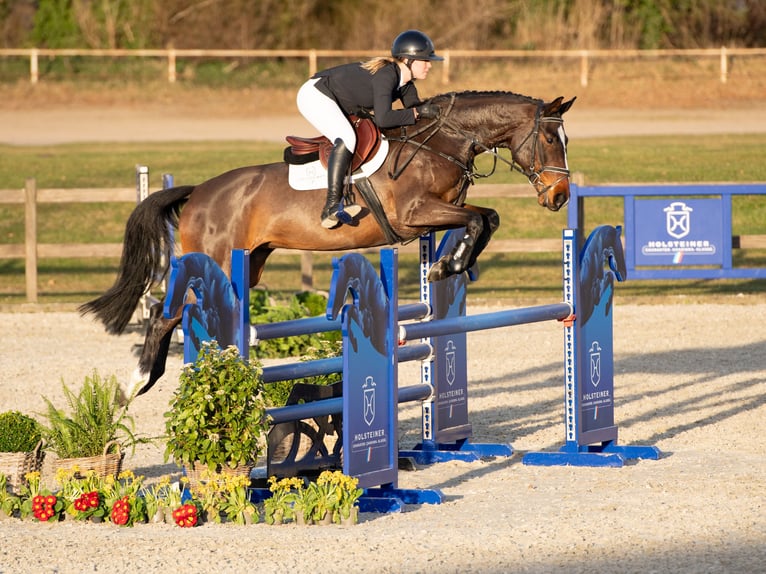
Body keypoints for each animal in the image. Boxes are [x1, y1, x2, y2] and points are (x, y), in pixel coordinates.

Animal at [79, 90, 575, 400]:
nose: (559, 196)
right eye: (551, 139)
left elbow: (486, 218)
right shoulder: (414, 213)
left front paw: (448, 265)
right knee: (165, 314)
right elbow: (478, 218)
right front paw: (444, 267)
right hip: (214, 263)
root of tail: (198, 191)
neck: (442, 141)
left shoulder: (440, 212)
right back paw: (137, 382)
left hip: (248, 265)